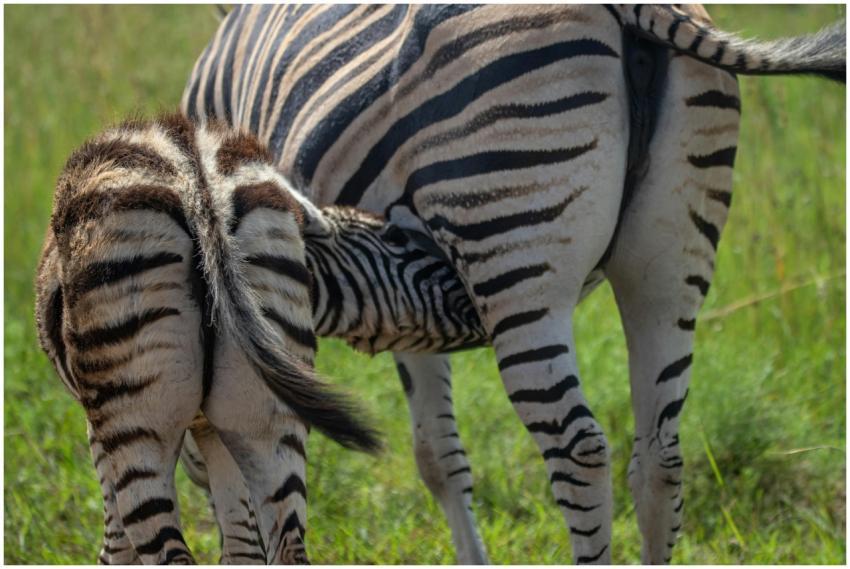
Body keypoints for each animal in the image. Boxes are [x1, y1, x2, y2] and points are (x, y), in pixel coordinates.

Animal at [34, 113, 387, 564]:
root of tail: (198, 182)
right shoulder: (214, 430)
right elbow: (241, 545)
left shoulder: (97, 428)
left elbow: (115, 542)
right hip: (270, 412)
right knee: (289, 545)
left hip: (133, 416)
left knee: (168, 549)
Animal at [181, 4, 845, 564]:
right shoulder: (403, 301)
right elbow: (438, 454)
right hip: (671, 258)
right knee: (661, 453)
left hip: (512, 250)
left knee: (579, 450)